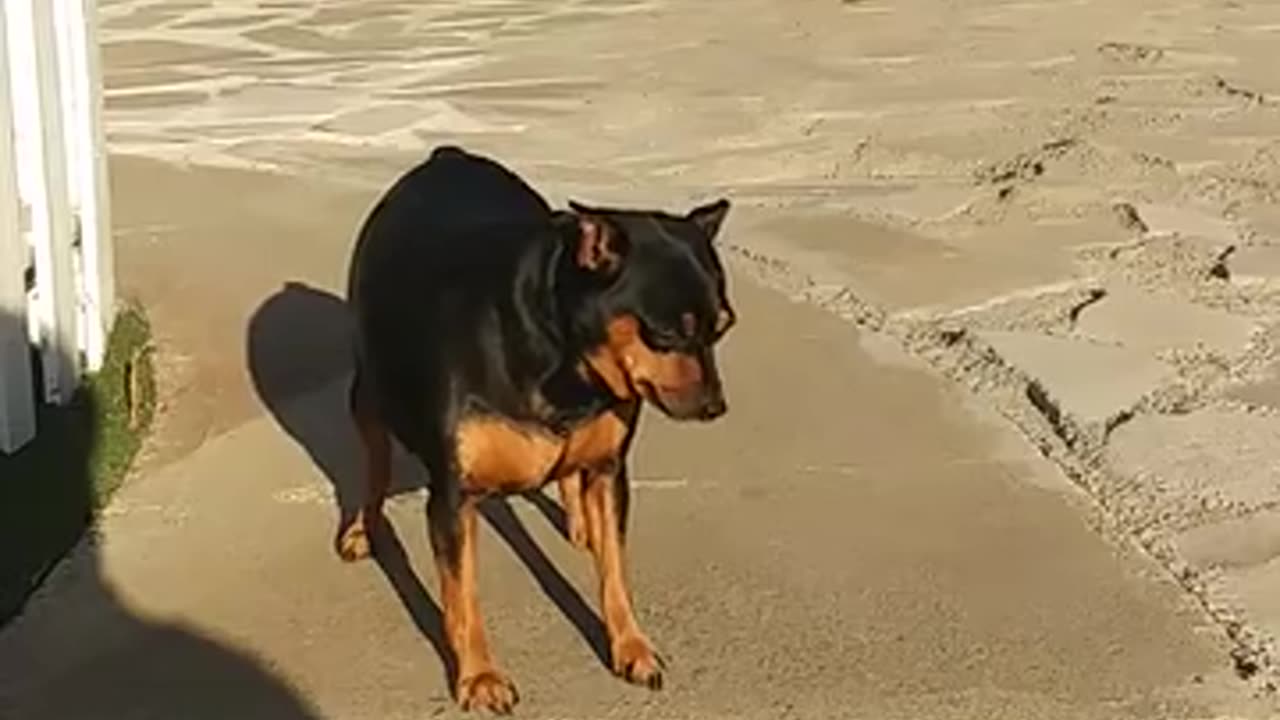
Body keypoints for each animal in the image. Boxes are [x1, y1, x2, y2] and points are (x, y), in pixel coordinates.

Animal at [340, 147, 737, 712]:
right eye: (664, 336)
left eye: (723, 329)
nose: (716, 406)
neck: (568, 360)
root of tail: (448, 155)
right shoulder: (453, 498)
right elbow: (464, 596)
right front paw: (480, 677)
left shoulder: (609, 470)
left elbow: (616, 572)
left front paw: (632, 647)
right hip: (369, 390)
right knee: (372, 461)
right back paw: (360, 529)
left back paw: (582, 525)